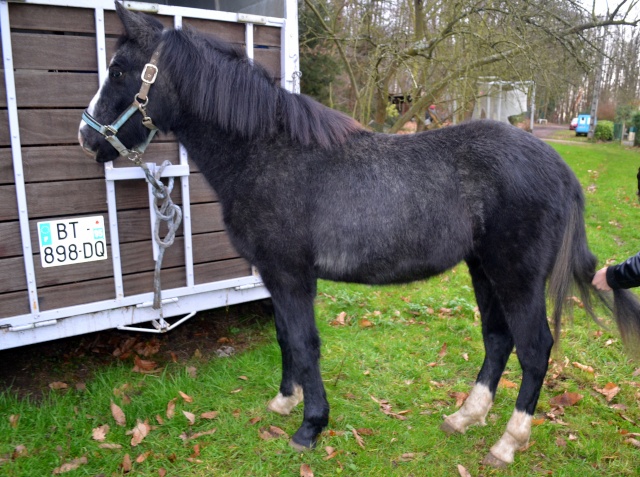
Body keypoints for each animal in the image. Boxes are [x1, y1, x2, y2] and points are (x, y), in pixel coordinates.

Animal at [76, 2, 640, 464]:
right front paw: (285, 401)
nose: (86, 137)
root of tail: (560, 168)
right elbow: (285, 337)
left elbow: (305, 342)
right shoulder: (275, 277)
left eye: (119, 70)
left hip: (516, 276)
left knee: (535, 348)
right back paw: (465, 416)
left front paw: (310, 427)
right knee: (498, 340)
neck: (269, 154)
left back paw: (507, 442)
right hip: (484, 270)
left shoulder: (292, 275)